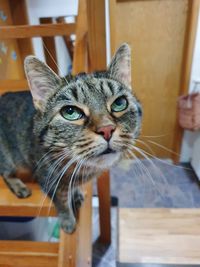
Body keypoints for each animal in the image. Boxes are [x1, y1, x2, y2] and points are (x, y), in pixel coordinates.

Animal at [0, 43, 141, 232]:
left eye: (119, 103)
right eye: (70, 112)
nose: (107, 129)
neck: (82, 168)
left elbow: (72, 188)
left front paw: (76, 194)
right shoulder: (48, 180)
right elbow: (61, 202)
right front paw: (68, 220)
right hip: (9, 158)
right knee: (6, 173)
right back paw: (19, 186)